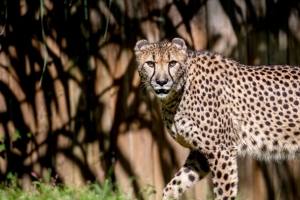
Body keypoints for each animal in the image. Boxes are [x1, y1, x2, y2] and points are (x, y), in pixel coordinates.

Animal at [135, 38, 300, 200]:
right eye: (150, 63)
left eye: (172, 63)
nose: (161, 82)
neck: (178, 95)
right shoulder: (200, 153)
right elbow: (173, 186)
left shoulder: (221, 151)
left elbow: (223, 192)